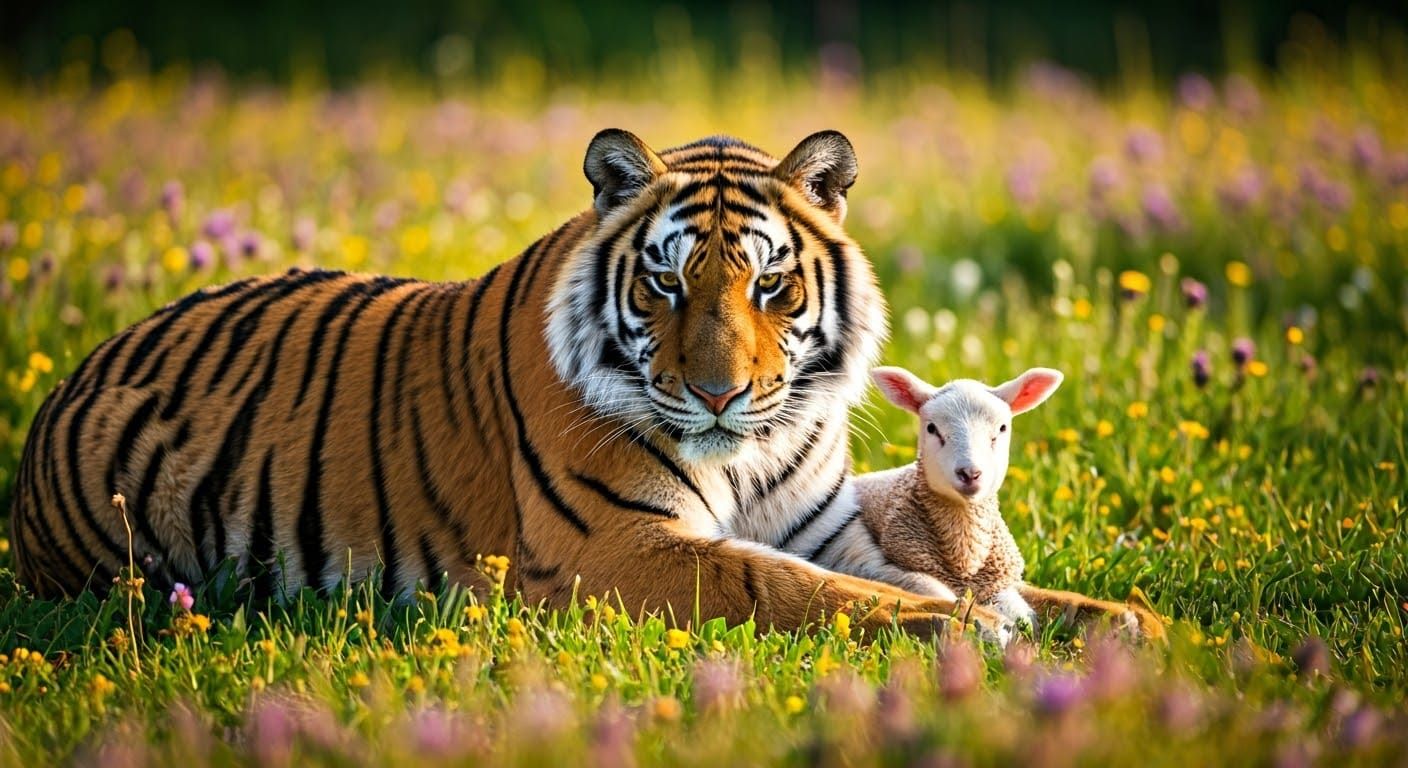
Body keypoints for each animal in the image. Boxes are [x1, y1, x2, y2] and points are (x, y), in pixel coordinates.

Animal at [8, 129, 1014, 638]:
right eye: (665, 282)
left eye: (771, 284)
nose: (719, 396)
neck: (749, 454)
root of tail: (77, 372)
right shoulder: (616, 549)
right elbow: (784, 587)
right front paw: (963, 625)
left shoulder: (826, 530)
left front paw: (1033, 619)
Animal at [849, 365, 1164, 638]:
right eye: (931, 428)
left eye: (1001, 428)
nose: (970, 473)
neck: (966, 557)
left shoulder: (996, 585)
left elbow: (1020, 612)